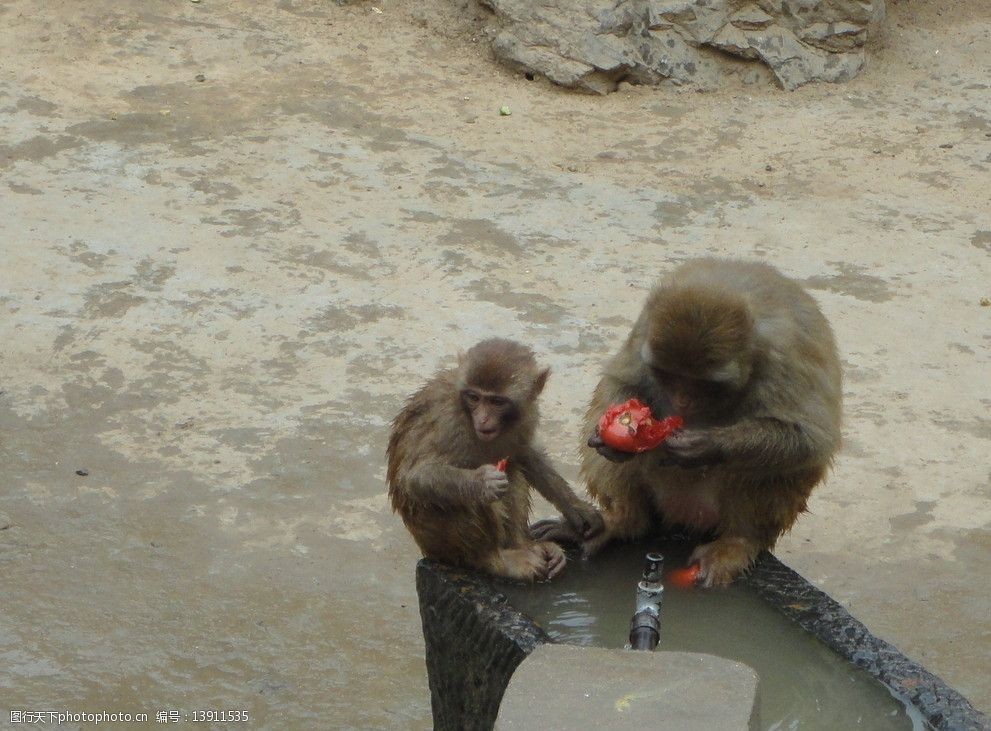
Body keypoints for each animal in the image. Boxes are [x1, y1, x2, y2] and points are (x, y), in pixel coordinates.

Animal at [388, 338, 604, 584]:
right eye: (474, 397)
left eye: (497, 401)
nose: (482, 419)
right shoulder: (448, 420)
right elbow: (415, 477)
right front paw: (482, 482)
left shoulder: (527, 415)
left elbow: (526, 453)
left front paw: (578, 509)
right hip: (439, 545)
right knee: (459, 497)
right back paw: (494, 560)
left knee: (512, 470)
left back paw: (524, 545)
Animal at [536, 260, 844, 588]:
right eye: (671, 375)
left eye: (702, 383)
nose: (682, 400)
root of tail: (684, 516)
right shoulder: (646, 325)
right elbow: (622, 381)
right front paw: (614, 440)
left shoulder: (784, 351)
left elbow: (809, 441)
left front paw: (706, 446)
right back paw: (622, 519)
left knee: (772, 468)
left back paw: (738, 541)